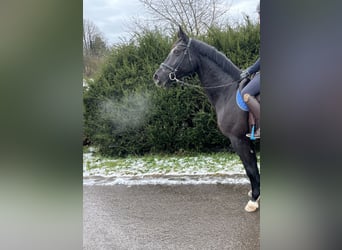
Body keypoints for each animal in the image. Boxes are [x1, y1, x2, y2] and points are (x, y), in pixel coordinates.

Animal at [152, 26, 260, 211]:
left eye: (177, 51)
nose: (158, 77)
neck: (228, 92)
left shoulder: (238, 140)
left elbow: (250, 169)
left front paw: (254, 200)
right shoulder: (247, 140)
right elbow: (254, 168)